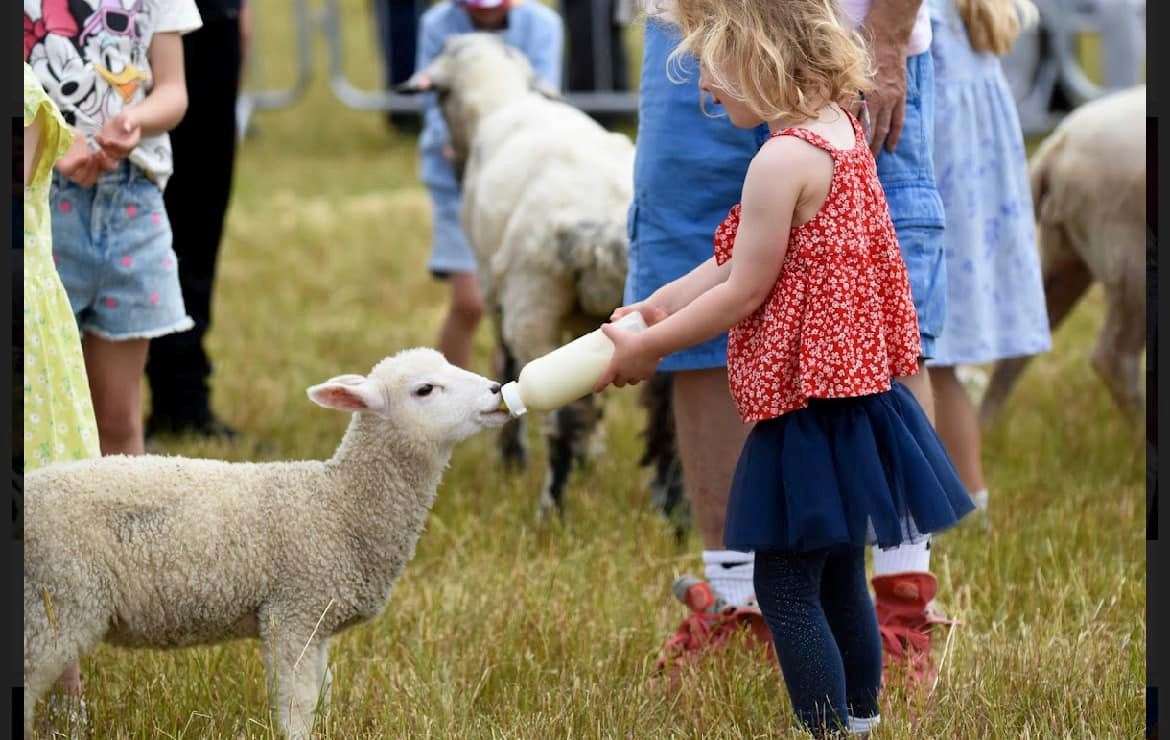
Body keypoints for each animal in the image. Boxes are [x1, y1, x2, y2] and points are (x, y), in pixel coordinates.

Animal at [22, 348, 507, 735]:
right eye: (425, 389)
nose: (498, 389)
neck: (339, 504)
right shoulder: (292, 612)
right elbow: (297, 705)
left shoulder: (318, 621)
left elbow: (322, 694)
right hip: (59, 600)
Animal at [400, 34, 683, 517]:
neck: (502, 97)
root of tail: (600, 226)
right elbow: (592, 399)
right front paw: (592, 455)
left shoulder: (496, 292)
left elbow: (508, 367)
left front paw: (514, 459)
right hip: (659, 304)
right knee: (666, 413)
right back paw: (671, 510)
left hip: (534, 304)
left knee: (558, 410)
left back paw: (553, 509)